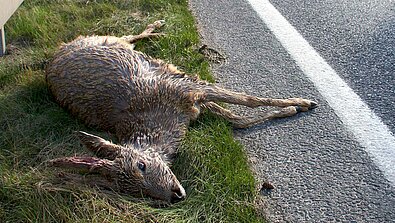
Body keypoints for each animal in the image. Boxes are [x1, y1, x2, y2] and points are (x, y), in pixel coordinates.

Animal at [45, 20, 318, 203]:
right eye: (135, 192)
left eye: (141, 165)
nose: (175, 195)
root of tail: (58, 50)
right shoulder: (193, 103)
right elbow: (237, 119)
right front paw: (292, 108)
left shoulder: (188, 87)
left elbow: (247, 99)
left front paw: (301, 102)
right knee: (131, 37)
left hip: (107, 39)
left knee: (131, 35)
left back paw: (159, 26)